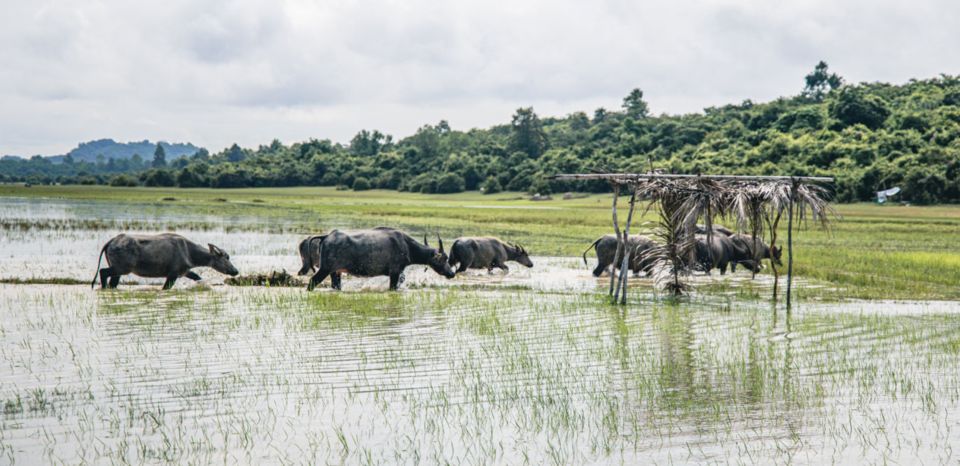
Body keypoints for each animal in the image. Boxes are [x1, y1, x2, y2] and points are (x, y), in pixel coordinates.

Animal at [92, 232, 240, 288]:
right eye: (225, 258)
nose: (235, 271)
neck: (189, 252)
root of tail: (112, 241)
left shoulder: (185, 272)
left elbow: (197, 277)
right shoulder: (172, 274)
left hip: (119, 271)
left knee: (112, 282)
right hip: (122, 268)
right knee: (103, 271)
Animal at [308, 228, 458, 292]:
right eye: (444, 258)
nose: (452, 273)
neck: (407, 245)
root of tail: (327, 236)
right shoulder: (395, 272)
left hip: (335, 272)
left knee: (335, 286)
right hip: (325, 269)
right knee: (311, 282)